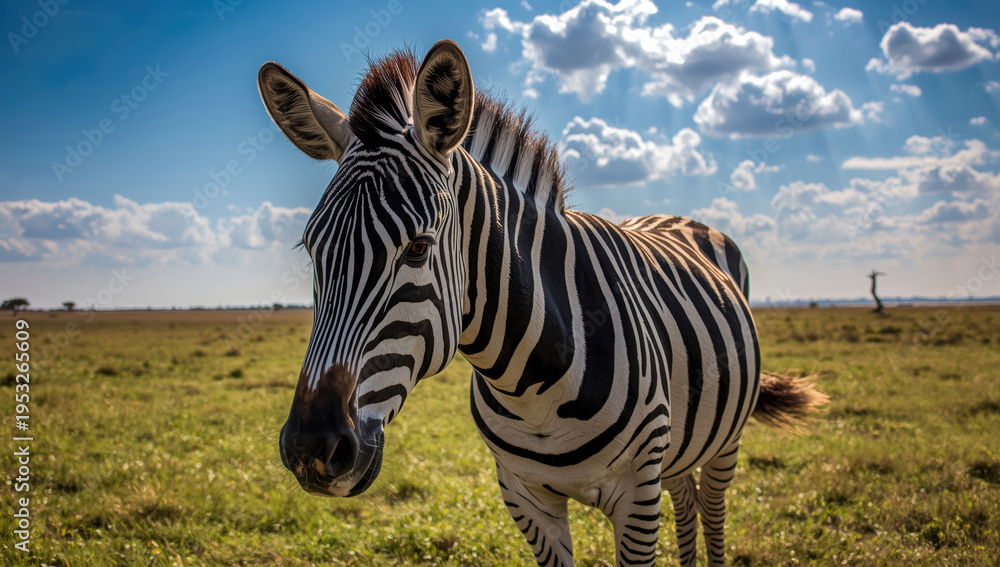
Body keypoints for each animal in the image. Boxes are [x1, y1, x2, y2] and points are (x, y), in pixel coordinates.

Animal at [259, 39, 826, 566]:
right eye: (311, 251)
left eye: (417, 248)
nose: (311, 449)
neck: (534, 386)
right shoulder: (524, 496)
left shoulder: (638, 498)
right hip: (679, 448)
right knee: (687, 500)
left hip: (724, 439)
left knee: (711, 509)